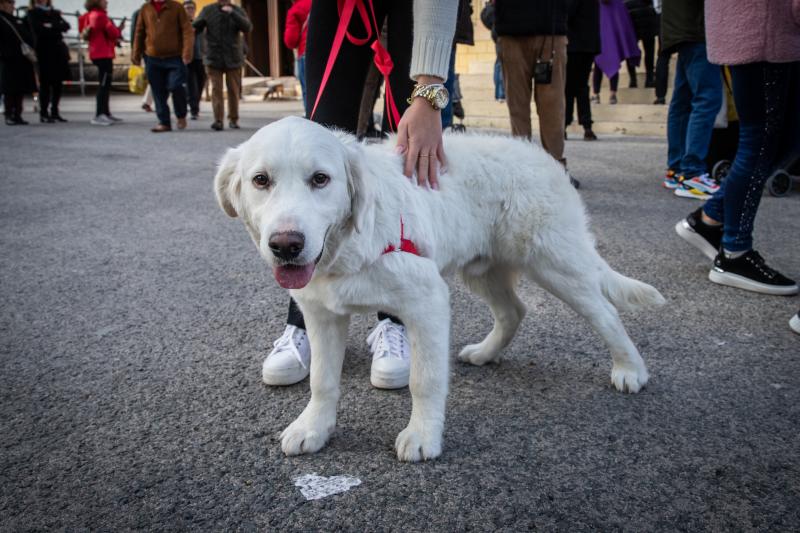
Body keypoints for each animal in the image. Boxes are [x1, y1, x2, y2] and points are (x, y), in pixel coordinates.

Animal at [212, 116, 664, 462]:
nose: (286, 245)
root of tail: (545, 157)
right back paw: (485, 353)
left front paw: (422, 436)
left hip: (556, 263)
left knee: (604, 312)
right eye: (260, 180)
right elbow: (322, 379)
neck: (351, 244)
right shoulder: (321, 313)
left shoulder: (426, 301)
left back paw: (630, 370)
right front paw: (313, 428)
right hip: (484, 269)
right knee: (514, 311)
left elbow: (424, 379)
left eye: (320, 179)